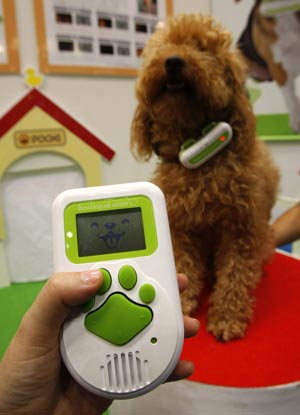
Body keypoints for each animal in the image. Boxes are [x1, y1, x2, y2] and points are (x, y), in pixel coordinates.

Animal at [130, 13, 280, 342]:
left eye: (203, 49)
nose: (173, 61)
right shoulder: (181, 227)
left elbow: (235, 275)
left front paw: (227, 317)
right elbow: (185, 265)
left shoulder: (240, 230)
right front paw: (183, 304)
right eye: (163, 48)